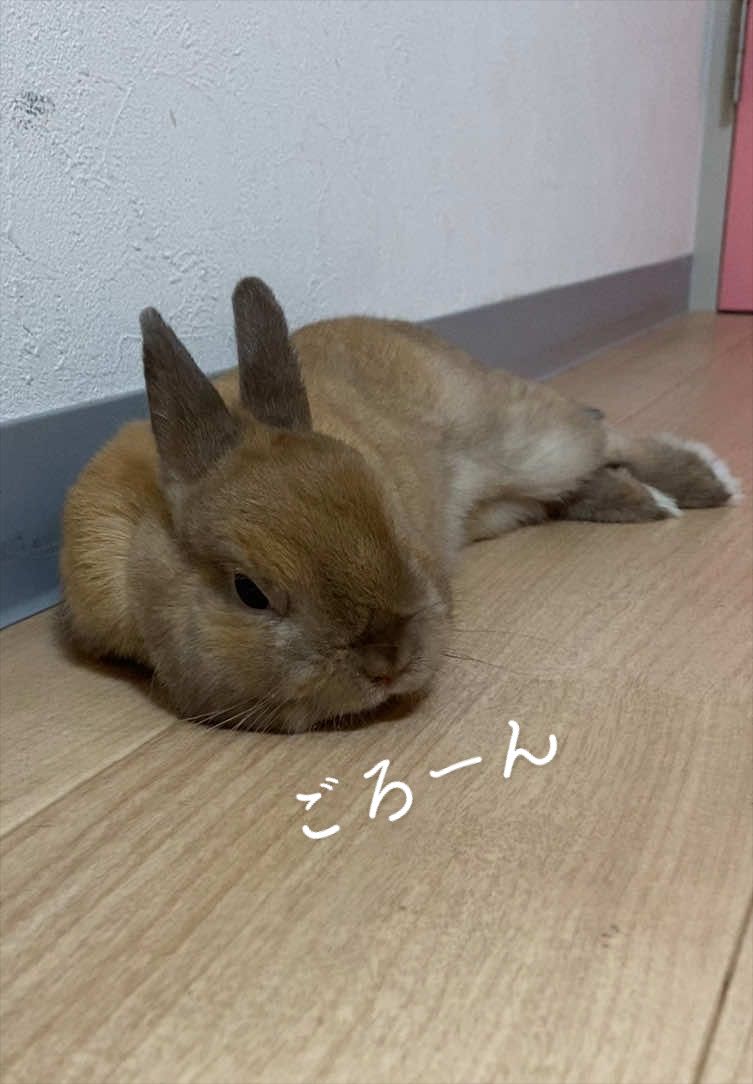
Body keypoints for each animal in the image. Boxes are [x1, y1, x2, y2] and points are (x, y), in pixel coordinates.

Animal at [60, 277, 740, 732]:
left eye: (388, 514)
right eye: (249, 592)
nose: (387, 661)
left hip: (532, 441)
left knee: (604, 435)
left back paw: (705, 482)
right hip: (510, 503)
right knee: (577, 482)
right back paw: (646, 497)